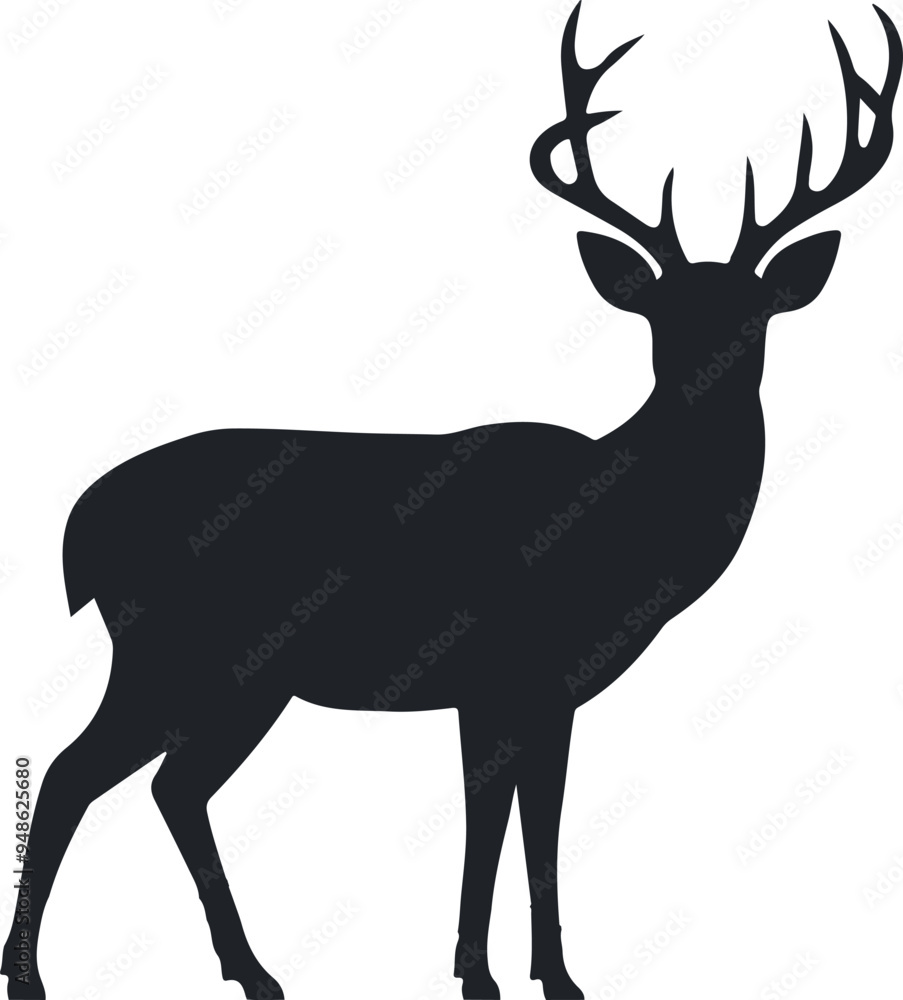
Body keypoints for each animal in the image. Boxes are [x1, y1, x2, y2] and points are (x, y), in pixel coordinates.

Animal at [3, 3, 901, 999]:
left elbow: (537, 824)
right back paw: (36, 975)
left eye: (754, 317)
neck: (620, 533)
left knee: (169, 785)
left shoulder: (546, 692)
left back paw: (253, 971)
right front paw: (483, 976)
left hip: (238, 678)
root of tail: (81, 527)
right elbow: (491, 821)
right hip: (174, 652)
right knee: (77, 773)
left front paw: (550, 976)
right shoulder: (496, 671)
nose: (705, 377)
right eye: (661, 317)